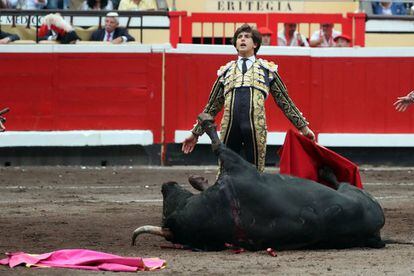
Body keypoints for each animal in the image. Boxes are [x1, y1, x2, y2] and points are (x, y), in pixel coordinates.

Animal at [132, 113, 384, 251]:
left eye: (170, 204)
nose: (166, 185)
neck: (218, 209)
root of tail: (376, 230)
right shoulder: (236, 167)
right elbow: (218, 145)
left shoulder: (235, 167)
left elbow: (217, 146)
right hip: (354, 191)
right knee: (341, 181)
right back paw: (326, 170)